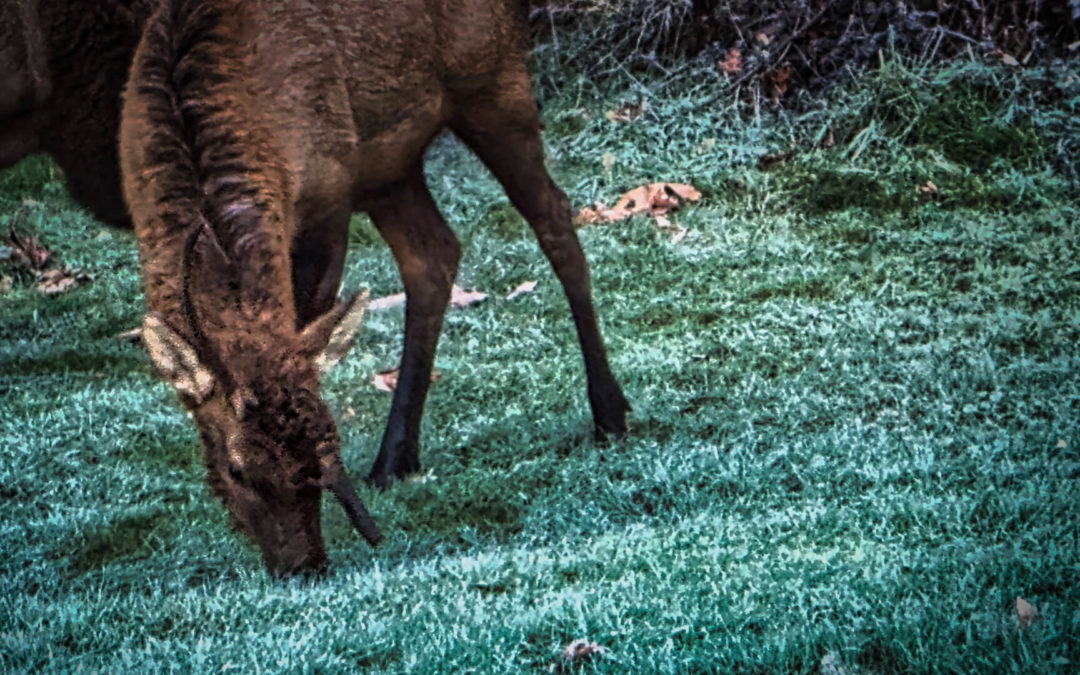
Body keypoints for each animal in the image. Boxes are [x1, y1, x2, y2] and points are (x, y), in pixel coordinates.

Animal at [119, 0, 630, 574]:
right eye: (236, 469)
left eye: (325, 443)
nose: (305, 566)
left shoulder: (327, 196)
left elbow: (304, 330)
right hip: (388, 162)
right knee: (434, 253)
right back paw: (395, 458)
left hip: (492, 82)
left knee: (555, 216)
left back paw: (609, 412)